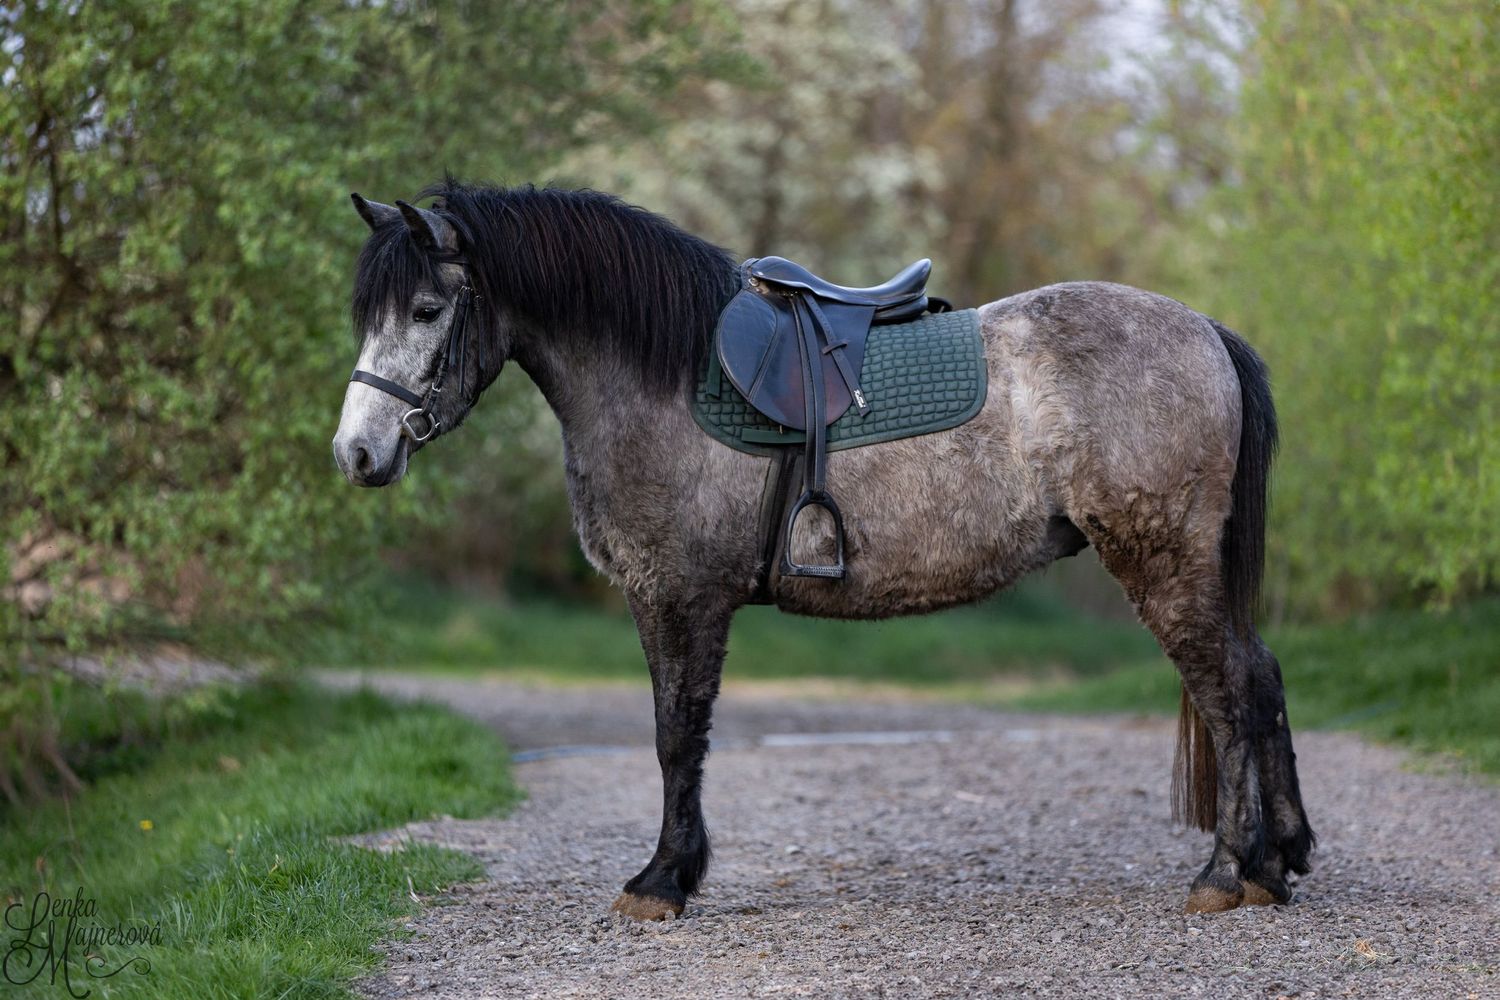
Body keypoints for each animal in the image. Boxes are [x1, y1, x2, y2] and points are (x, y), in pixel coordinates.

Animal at [331, 180, 1314, 919]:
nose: (357, 454)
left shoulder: (681, 596)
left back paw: (1224, 874)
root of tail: (1205, 331)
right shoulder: (666, 600)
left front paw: (661, 881)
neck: (667, 377)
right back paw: (1278, 862)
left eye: (426, 308)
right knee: (1260, 676)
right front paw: (676, 871)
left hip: (1162, 560)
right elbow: (676, 734)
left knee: (1227, 692)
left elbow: (675, 734)